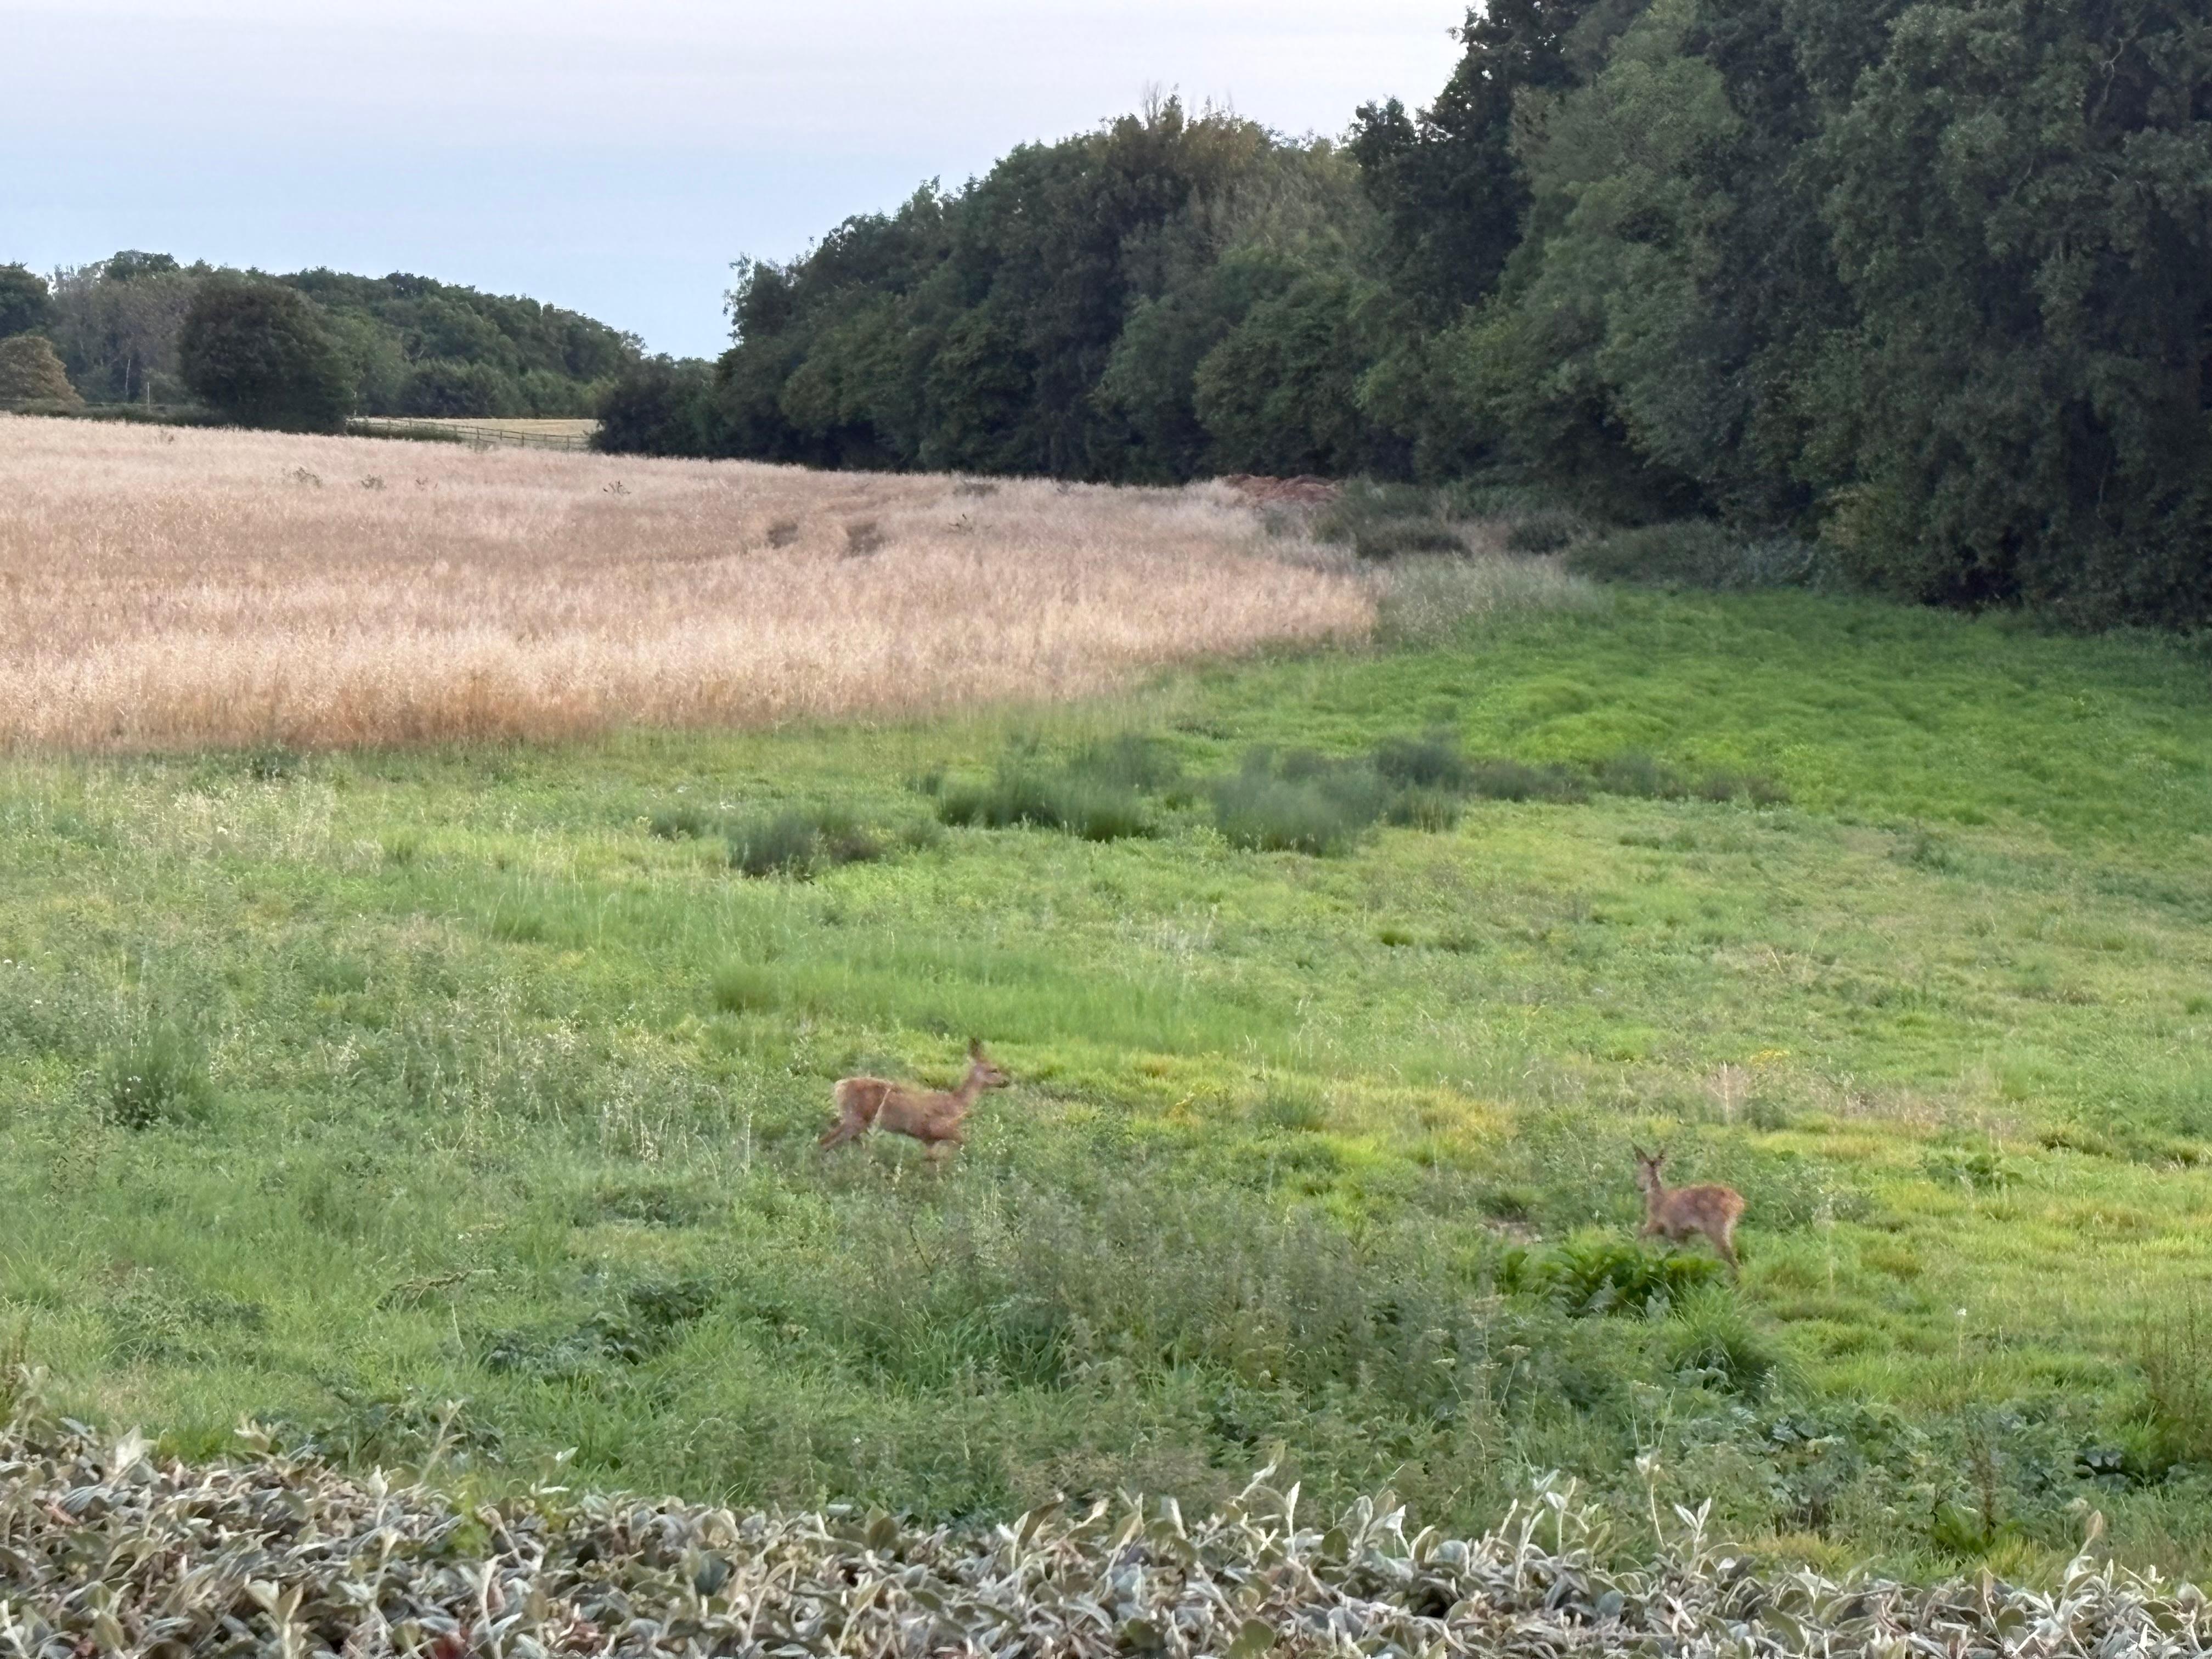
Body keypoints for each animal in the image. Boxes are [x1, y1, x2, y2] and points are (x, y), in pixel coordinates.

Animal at [819, 1039, 1010, 1165]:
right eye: (994, 1070)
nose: (1007, 1081)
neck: (958, 1104)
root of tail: (839, 1087)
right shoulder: (938, 1128)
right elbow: (963, 1141)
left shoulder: (929, 1140)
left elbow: (932, 1157)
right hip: (855, 1119)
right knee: (826, 1141)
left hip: (854, 1120)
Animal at [1632, 1146, 1746, 1280]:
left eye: (1641, 1172)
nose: (1639, 1187)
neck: (1657, 1200)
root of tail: (1739, 1202)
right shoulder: (1682, 1236)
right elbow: (1683, 1259)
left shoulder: (1658, 1224)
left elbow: (1640, 1237)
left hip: (1717, 1228)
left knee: (1732, 1258)